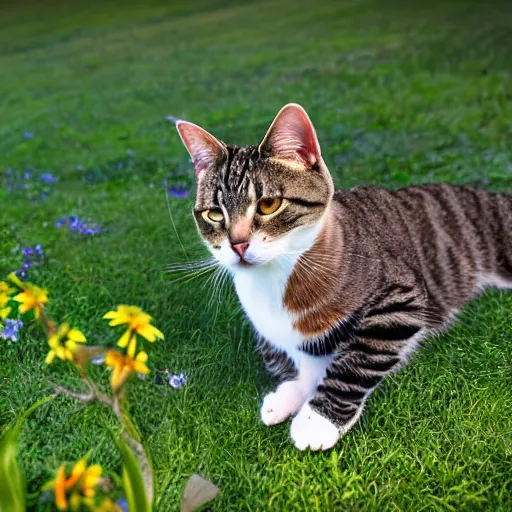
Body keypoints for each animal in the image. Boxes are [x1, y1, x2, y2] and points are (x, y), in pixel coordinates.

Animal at [175, 102, 512, 450]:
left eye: (269, 204)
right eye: (215, 214)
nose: (238, 244)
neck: (276, 277)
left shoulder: (401, 299)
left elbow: (357, 359)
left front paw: (317, 420)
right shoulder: (267, 328)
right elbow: (283, 352)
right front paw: (290, 393)